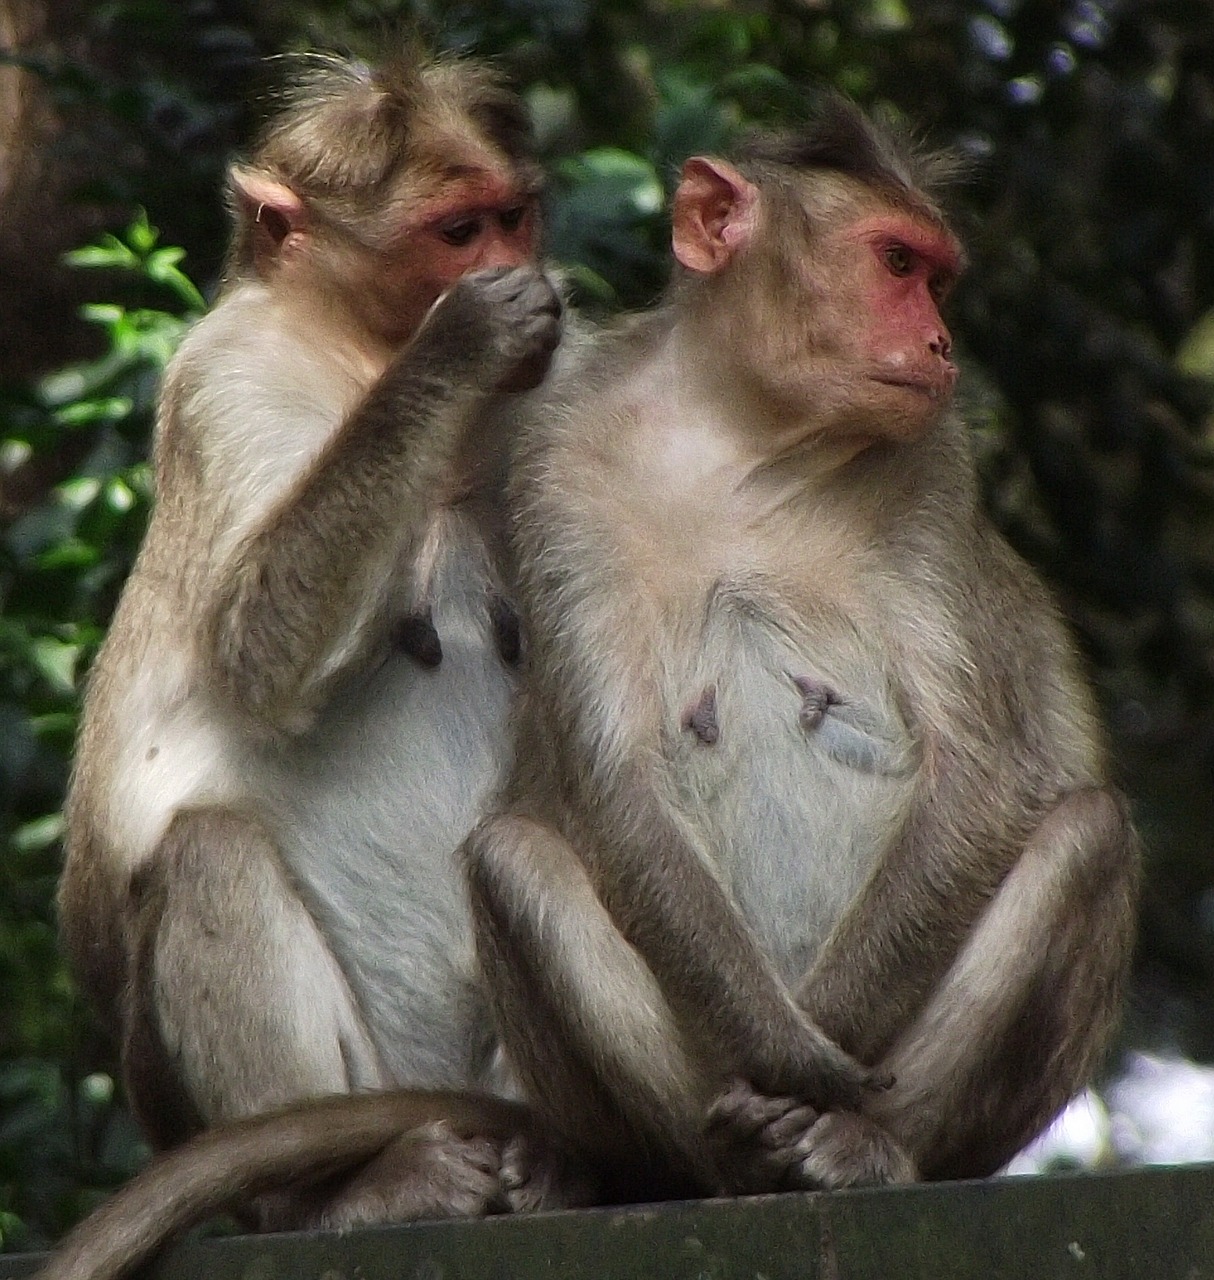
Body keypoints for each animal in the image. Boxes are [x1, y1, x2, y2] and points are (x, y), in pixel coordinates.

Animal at [55, 42, 568, 1228]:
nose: (526, 263)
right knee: (205, 856)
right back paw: (341, 1188)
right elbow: (259, 648)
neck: (358, 352)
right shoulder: (228, 377)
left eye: (515, 213)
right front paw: (460, 341)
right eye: (460, 231)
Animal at [463, 94, 1137, 1192]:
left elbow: (980, 777)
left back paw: (860, 1146)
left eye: (936, 277)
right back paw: (720, 1153)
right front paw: (782, 1054)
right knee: (508, 858)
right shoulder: (554, 459)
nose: (941, 342)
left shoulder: (933, 468)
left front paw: (813, 1060)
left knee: (1086, 832)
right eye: (897, 264)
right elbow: (614, 785)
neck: (740, 436)